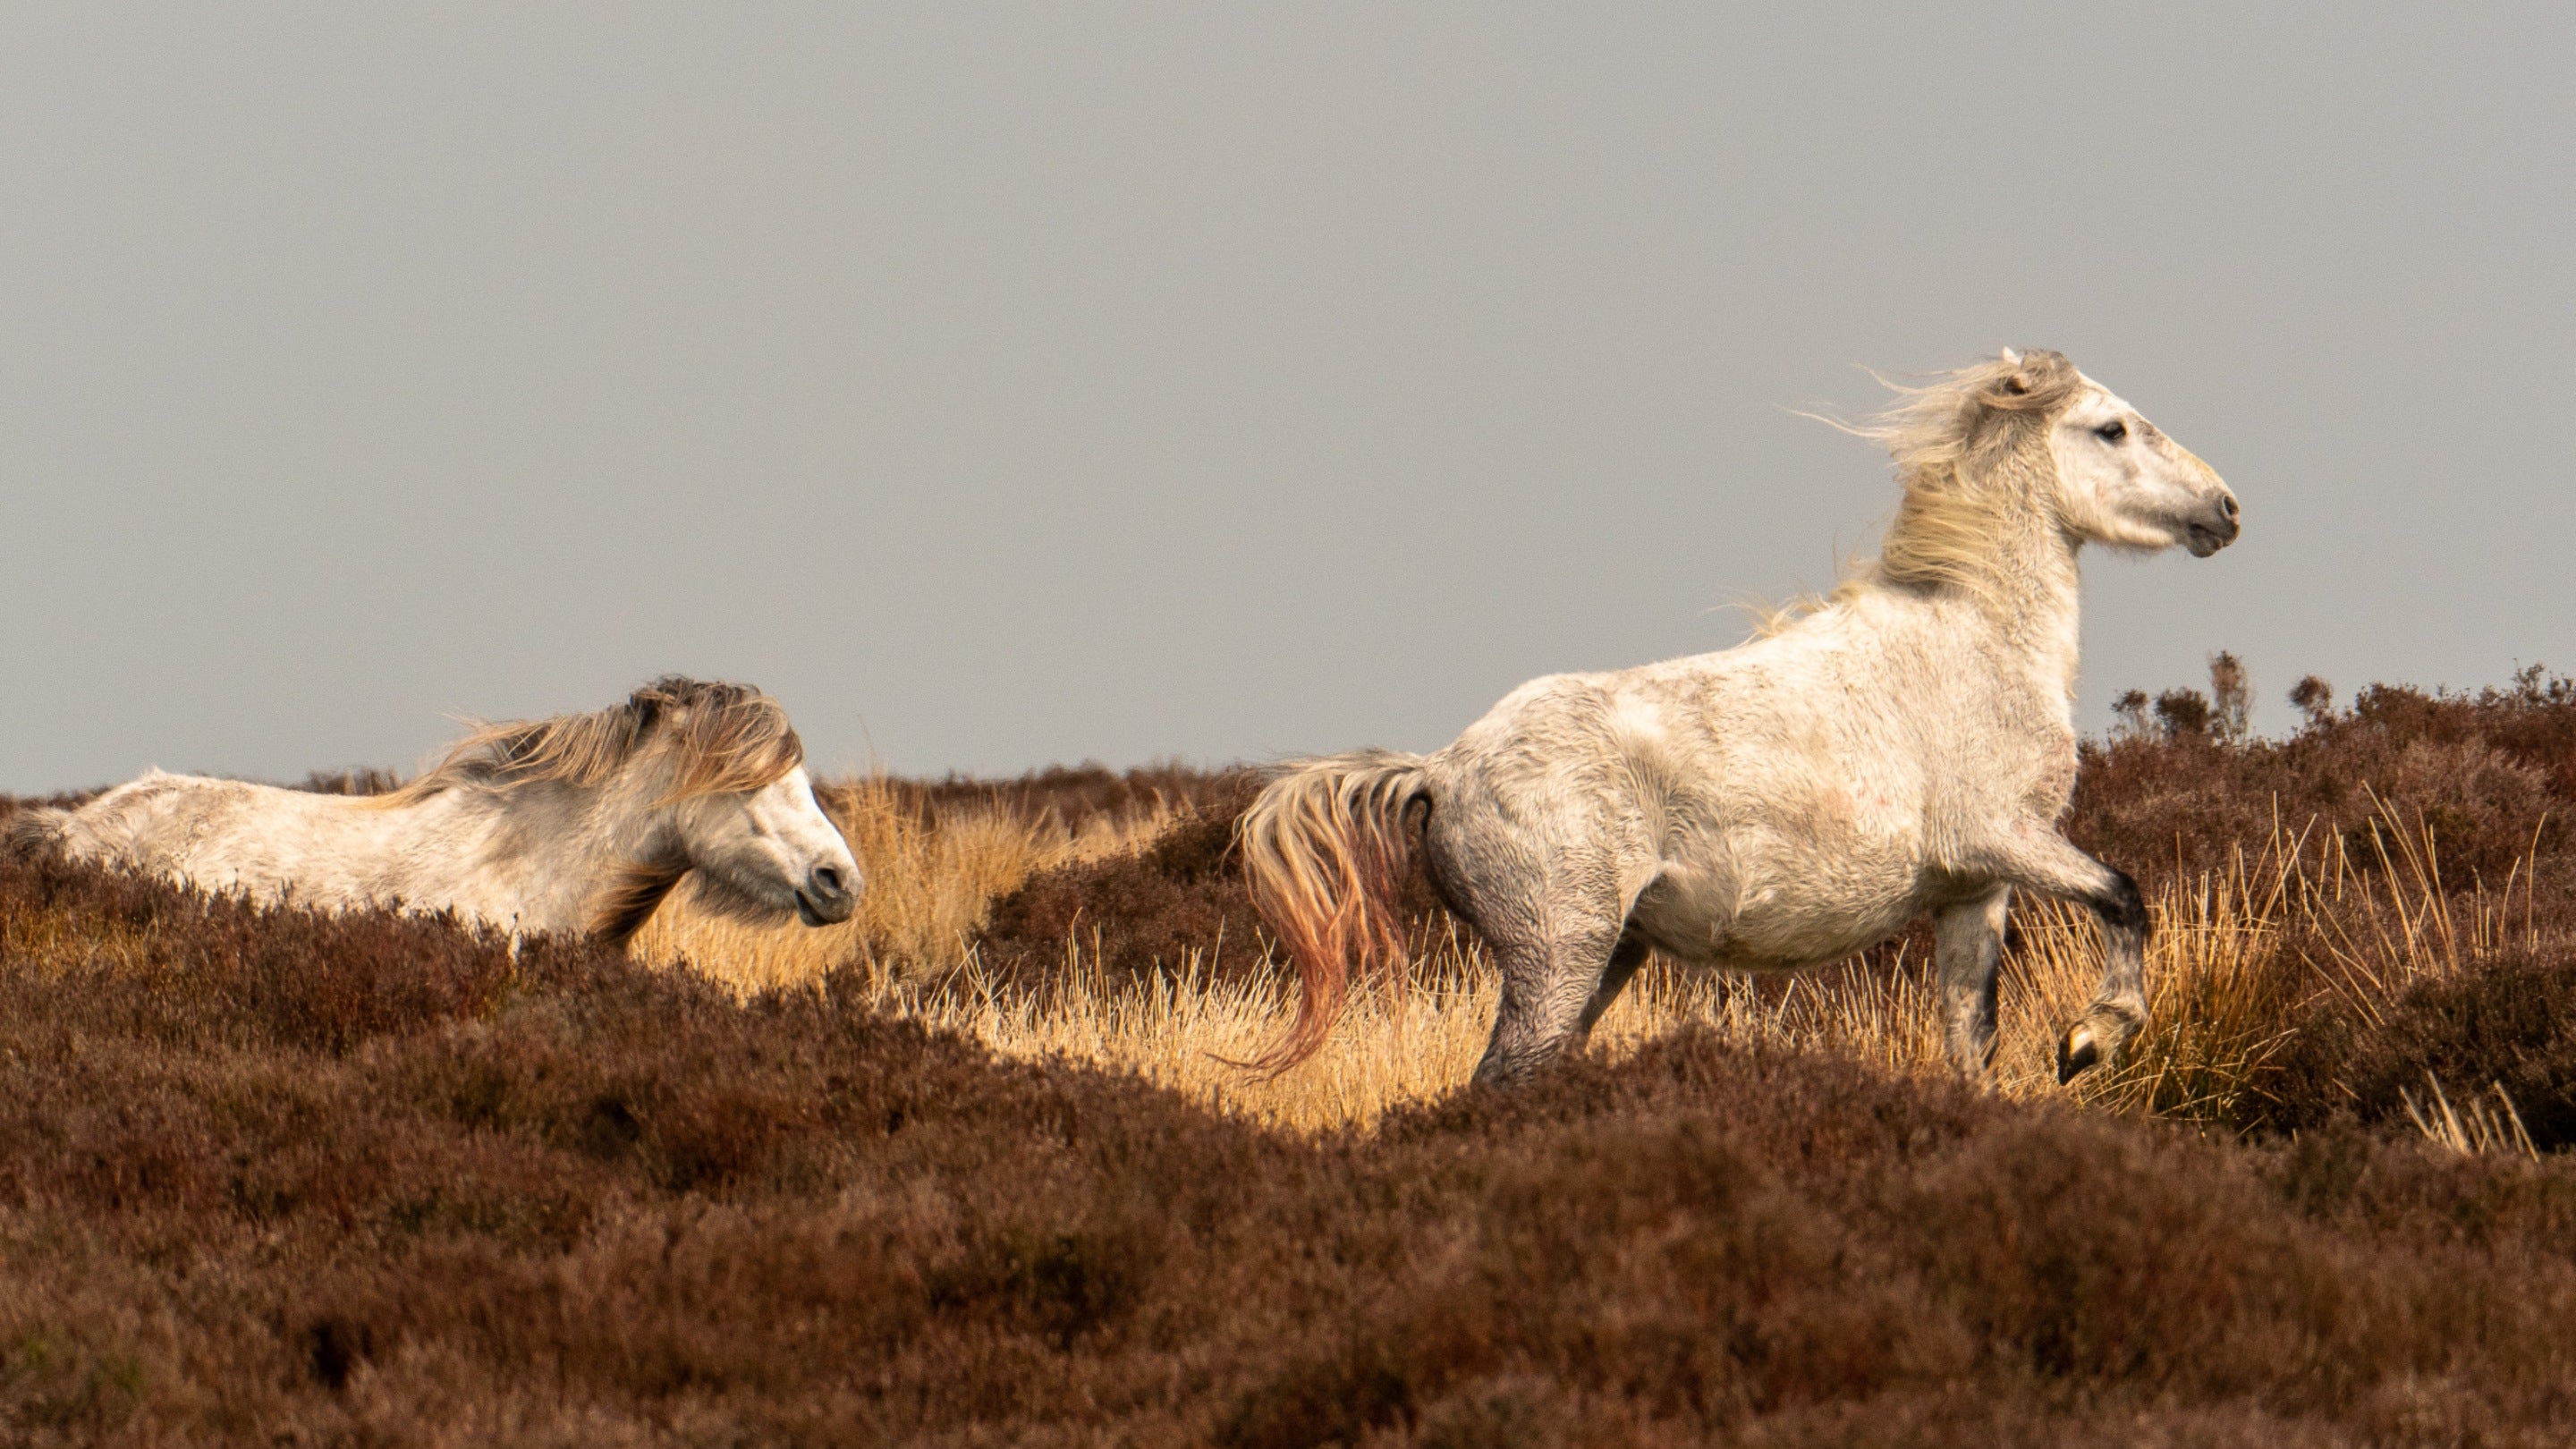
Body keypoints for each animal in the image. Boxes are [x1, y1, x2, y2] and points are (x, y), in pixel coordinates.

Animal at [1241, 349, 2241, 1087]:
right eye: (2111, 427)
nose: (2225, 510)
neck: (1975, 640)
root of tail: (1439, 768)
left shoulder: (1975, 888)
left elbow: (1971, 1044)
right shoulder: (2001, 834)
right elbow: (2125, 893)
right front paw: (2092, 1038)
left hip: (1608, 957)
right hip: (1558, 955)